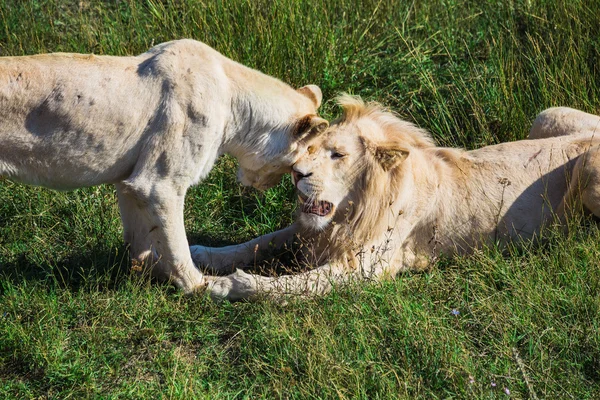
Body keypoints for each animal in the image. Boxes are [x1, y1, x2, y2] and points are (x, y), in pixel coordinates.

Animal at [0, 39, 328, 292]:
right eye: (296, 167)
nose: (264, 188)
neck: (234, 105)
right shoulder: (159, 184)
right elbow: (177, 243)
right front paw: (200, 286)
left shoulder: (130, 180)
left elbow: (140, 238)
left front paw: (145, 272)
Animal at [192, 95, 600, 300]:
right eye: (309, 148)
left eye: (337, 155)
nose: (297, 174)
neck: (353, 210)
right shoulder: (315, 231)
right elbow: (258, 242)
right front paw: (205, 254)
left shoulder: (364, 268)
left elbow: (289, 285)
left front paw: (227, 285)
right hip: (545, 116)